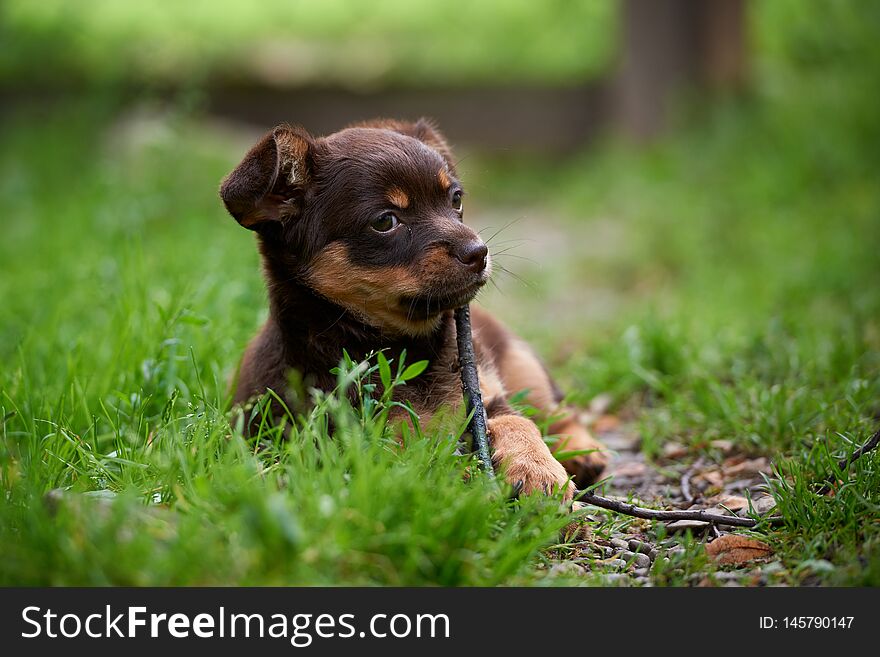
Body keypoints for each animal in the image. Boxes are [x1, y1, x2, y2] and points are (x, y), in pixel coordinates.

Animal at [220, 119, 604, 498]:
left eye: (456, 199)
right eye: (385, 222)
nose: (479, 252)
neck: (407, 345)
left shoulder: (485, 398)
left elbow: (517, 421)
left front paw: (538, 469)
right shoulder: (365, 435)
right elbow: (424, 449)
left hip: (522, 364)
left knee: (556, 409)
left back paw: (583, 453)